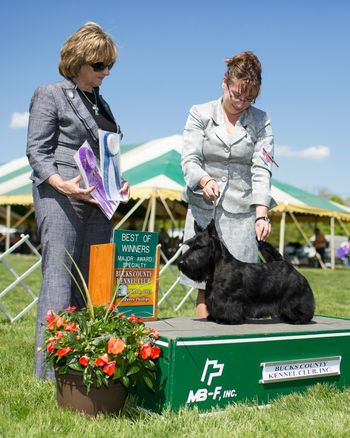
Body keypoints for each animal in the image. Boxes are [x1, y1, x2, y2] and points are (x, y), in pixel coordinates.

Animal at [178, 221, 314, 324]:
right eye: (189, 245)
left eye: (199, 246)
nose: (180, 262)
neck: (216, 269)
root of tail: (287, 264)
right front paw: (213, 317)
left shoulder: (230, 300)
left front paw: (225, 320)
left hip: (295, 297)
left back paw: (299, 319)